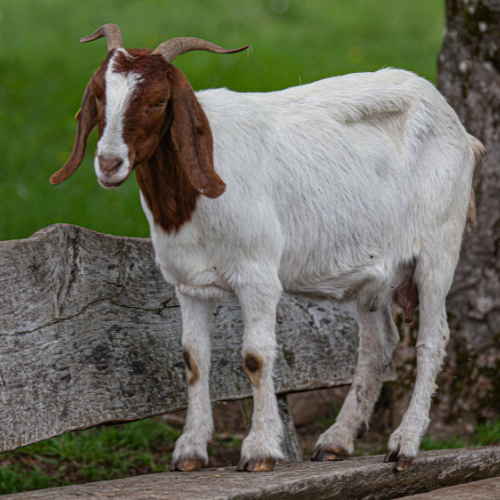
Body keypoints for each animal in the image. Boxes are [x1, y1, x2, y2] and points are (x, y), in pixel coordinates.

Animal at [49, 23, 480, 474]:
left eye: (158, 101)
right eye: (100, 96)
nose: (109, 163)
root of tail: (459, 128)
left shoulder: (257, 276)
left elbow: (255, 357)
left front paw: (259, 449)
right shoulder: (188, 284)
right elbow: (193, 360)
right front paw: (190, 450)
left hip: (438, 247)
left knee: (432, 339)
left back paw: (404, 444)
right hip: (374, 273)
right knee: (378, 344)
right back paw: (337, 440)